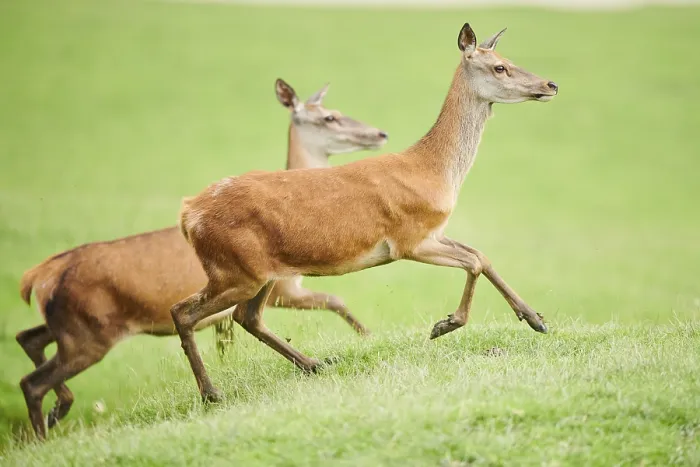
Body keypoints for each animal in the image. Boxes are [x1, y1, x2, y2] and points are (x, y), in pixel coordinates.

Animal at [16, 79, 388, 440]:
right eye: (329, 117)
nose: (379, 133)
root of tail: (39, 275)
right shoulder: (284, 286)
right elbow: (335, 300)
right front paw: (369, 337)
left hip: (70, 325)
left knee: (28, 339)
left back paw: (56, 411)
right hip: (91, 333)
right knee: (32, 380)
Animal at [169, 23, 558, 404]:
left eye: (509, 59)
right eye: (499, 67)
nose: (550, 85)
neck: (435, 171)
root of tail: (188, 215)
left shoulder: (433, 231)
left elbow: (482, 256)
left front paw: (535, 319)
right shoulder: (409, 239)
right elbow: (474, 262)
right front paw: (444, 325)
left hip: (258, 271)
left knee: (245, 316)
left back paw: (313, 363)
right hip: (235, 269)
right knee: (183, 312)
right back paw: (212, 393)